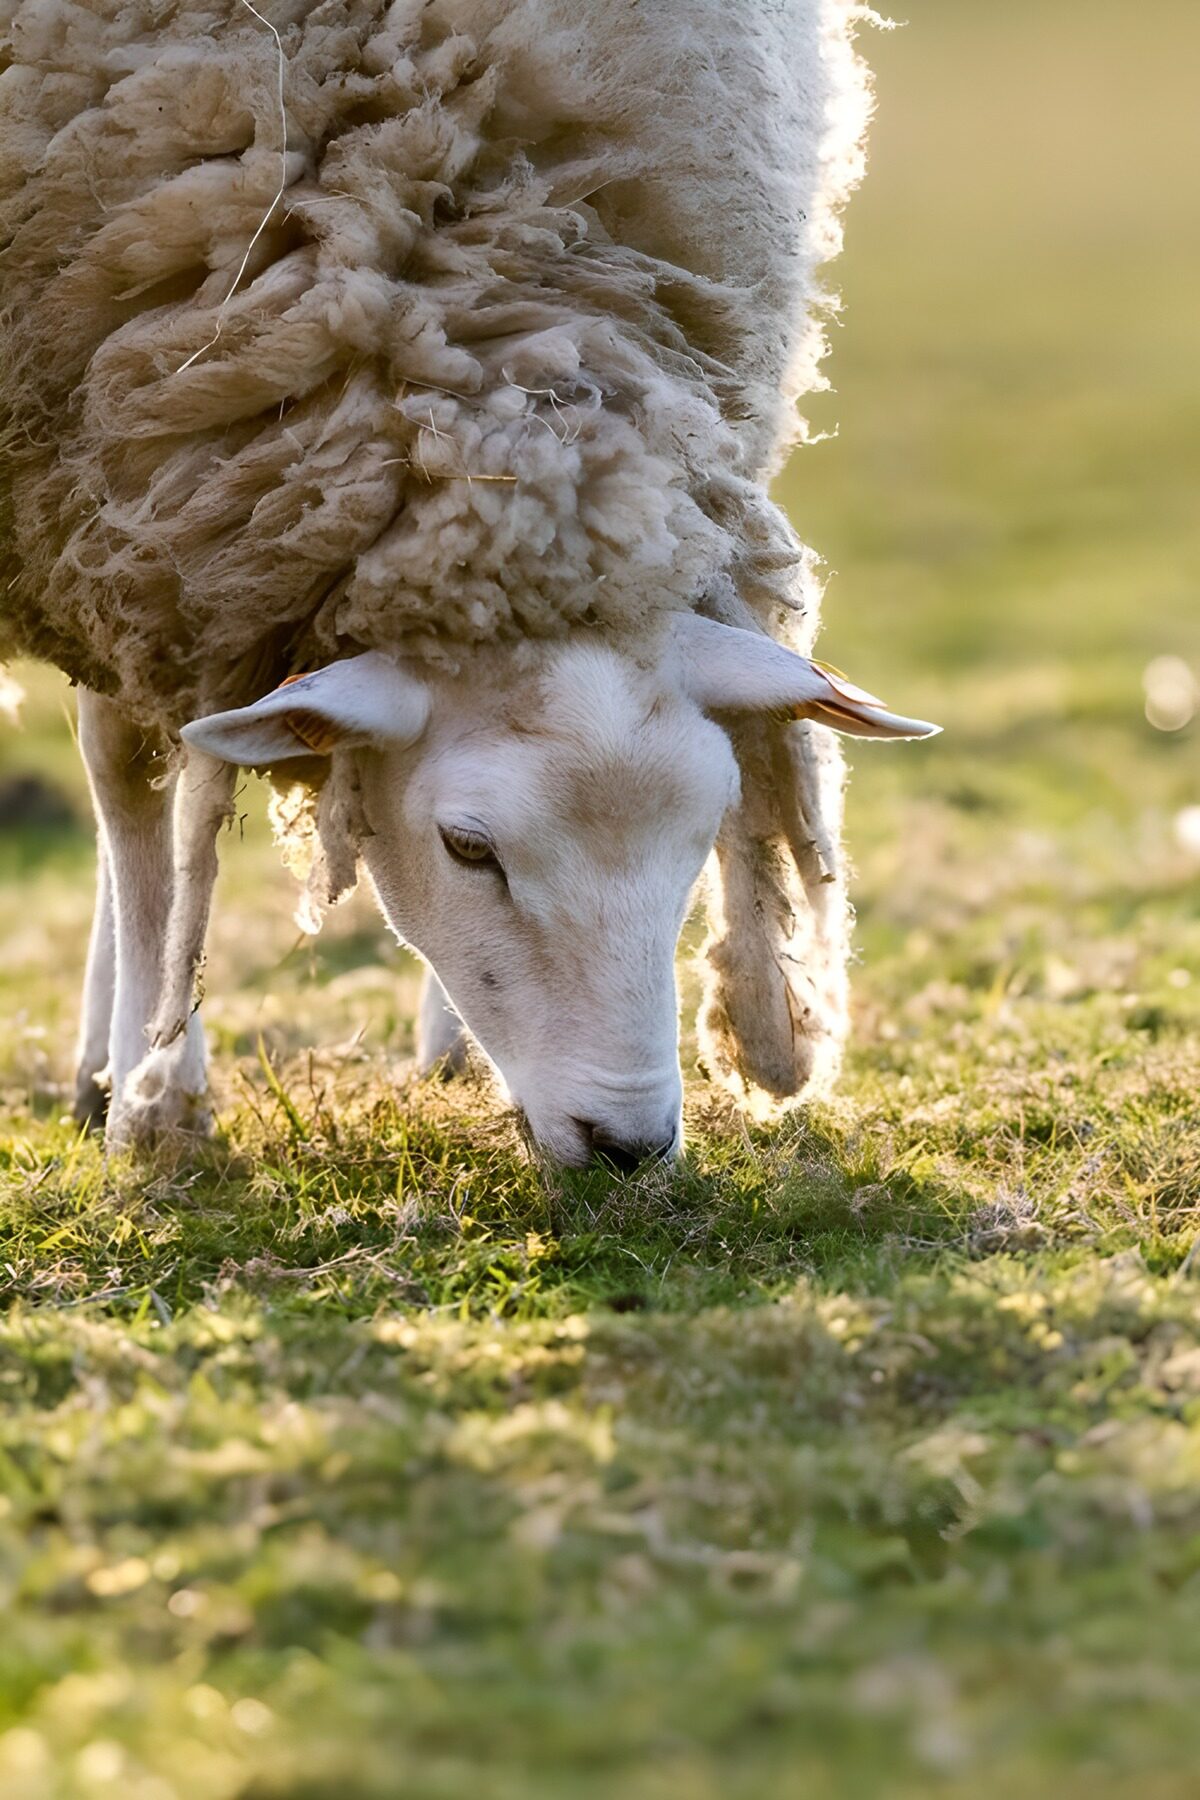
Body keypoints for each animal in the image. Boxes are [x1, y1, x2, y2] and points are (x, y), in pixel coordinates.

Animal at [0, 0, 937, 1165]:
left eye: (704, 827)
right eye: (468, 847)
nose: (628, 1144)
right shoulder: (112, 509)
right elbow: (132, 785)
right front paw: (158, 1096)